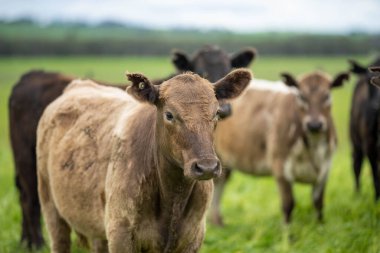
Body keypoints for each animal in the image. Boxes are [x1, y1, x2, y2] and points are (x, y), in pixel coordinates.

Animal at [212, 70, 348, 224]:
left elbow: (318, 203)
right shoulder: (280, 167)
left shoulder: (325, 169)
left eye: (327, 95)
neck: (313, 149)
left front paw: (320, 226)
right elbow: (288, 204)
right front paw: (287, 231)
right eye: (301, 96)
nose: (314, 124)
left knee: (220, 183)